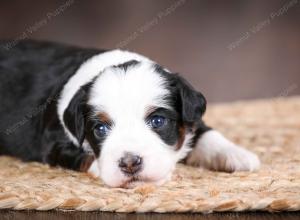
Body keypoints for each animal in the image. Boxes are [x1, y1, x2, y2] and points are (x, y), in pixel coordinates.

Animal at [0, 40, 260, 188]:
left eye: (158, 121)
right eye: (100, 129)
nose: (130, 164)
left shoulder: (191, 116)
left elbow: (207, 134)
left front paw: (239, 156)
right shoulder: (54, 143)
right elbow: (88, 158)